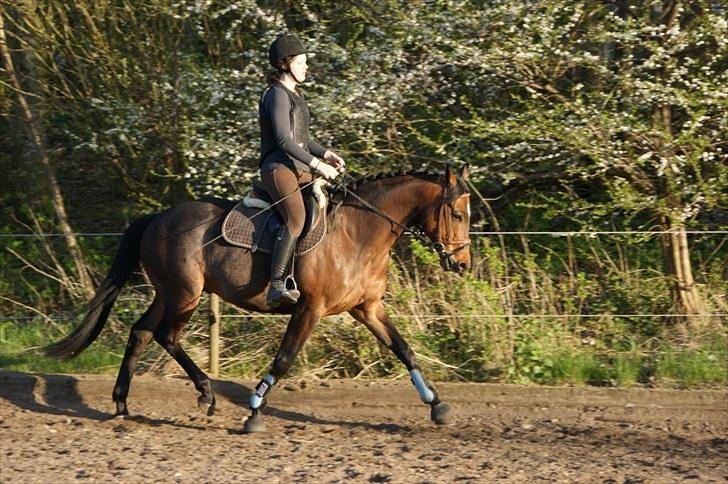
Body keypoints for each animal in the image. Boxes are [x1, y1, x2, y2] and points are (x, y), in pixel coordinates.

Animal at [48, 165, 474, 432]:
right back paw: (205, 394)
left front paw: (437, 404)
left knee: (141, 333)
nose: (462, 263)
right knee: (167, 336)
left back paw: (122, 404)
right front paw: (254, 411)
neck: (358, 232)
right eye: (456, 214)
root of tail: (157, 217)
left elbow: (404, 349)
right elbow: (283, 359)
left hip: (169, 292)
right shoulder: (310, 308)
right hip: (185, 294)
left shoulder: (367, 308)